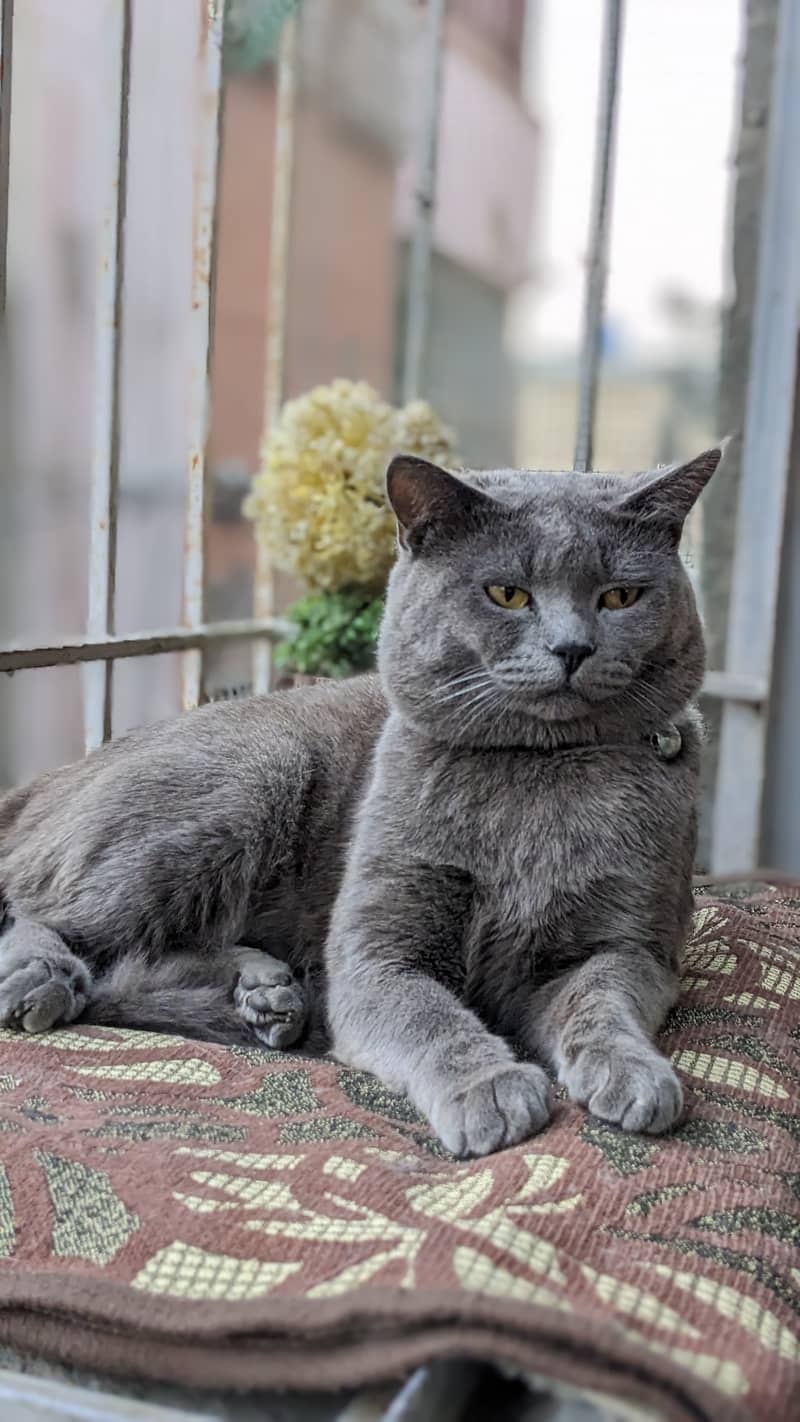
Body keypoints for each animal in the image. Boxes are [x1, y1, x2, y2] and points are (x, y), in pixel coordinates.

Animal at [0, 443, 721, 1154]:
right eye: (507, 593)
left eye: (621, 595)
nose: (573, 647)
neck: (543, 771)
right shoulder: (378, 951)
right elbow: (429, 1017)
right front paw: (490, 1091)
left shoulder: (634, 943)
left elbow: (602, 999)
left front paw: (633, 1074)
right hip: (252, 775)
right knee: (54, 921)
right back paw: (44, 983)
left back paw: (266, 993)